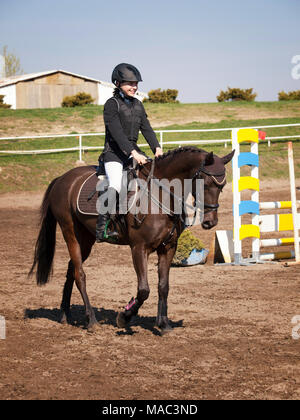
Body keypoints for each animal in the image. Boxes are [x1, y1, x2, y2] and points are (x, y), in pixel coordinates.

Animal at [28, 147, 234, 334]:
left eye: (222, 186)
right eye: (205, 184)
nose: (210, 222)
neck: (161, 195)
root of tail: (62, 178)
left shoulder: (168, 248)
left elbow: (163, 286)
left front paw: (163, 324)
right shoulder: (139, 248)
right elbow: (144, 290)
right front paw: (124, 317)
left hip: (85, 240)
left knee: (72, 269)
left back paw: (65, 314)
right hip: (70, 233)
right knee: (80, 274)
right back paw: (91, 320)